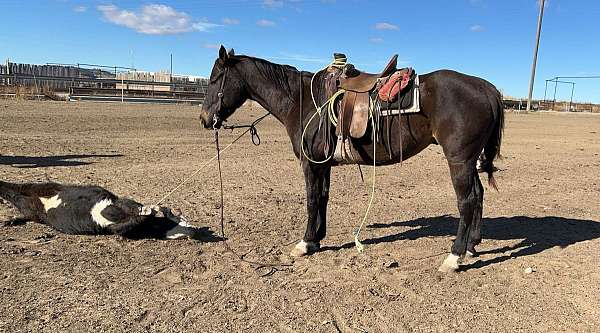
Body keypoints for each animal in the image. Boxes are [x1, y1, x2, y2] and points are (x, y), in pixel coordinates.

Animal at [199, 45, 504, 272]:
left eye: (214, 79)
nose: (204, 118)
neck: (300, 100)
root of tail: (486, 88)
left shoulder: (310, 164)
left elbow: (312, 200)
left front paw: (305, 243)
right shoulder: (322, 165)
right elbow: (323, 198)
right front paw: (317, 240)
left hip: (459, 161)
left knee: (466, 201)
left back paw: (454, 257)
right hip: (469, 161)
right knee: (478, 195)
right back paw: (472, 245)